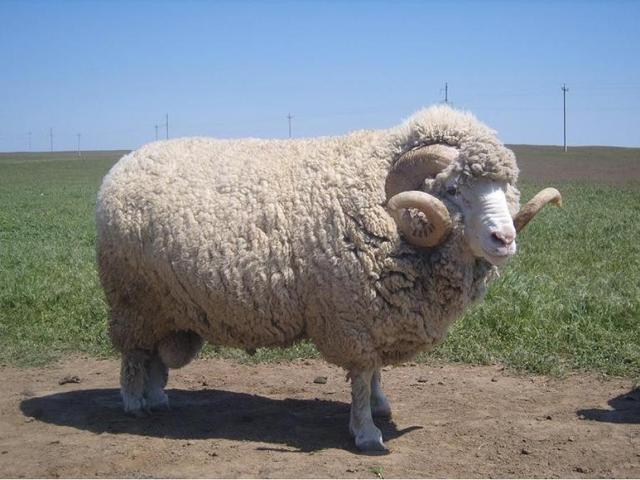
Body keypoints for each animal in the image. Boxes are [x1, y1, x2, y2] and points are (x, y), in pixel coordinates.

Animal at [96, 105, 561, 452]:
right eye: (451, 189)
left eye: (504, 187)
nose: (505, 239)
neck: (386, 210)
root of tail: (123, 164)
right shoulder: (350, 314)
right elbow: (362, 374)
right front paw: (366, 432)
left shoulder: (378, 312)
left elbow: (376, 371)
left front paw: (381, 405)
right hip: (132, 298)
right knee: (133, 355)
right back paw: (134, 403)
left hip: (165, 306)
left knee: (153, 357)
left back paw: (158, 399)